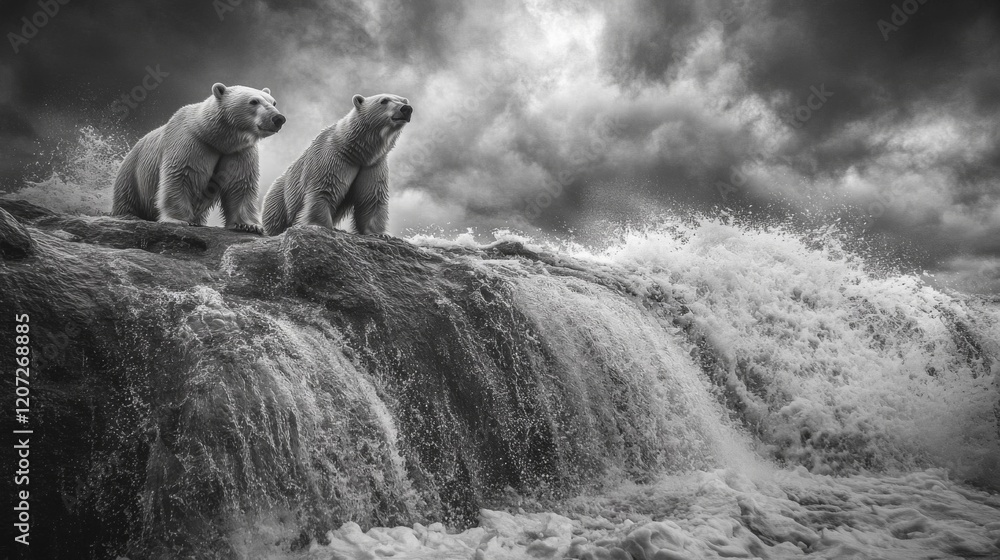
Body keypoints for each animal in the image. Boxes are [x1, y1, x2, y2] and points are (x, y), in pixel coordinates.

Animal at [111, 83, 285, 234]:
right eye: (254, 101)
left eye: (273, 101)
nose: (278, 118)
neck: (215, 138)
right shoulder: (192, 144)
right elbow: (181, 176)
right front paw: (179, 220)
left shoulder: (239, 152)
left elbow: (240, 183)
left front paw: (249, 225)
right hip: (132, 174)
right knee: (127, 197)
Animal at [261, 93, 411, 236]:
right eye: (384, 100)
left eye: (403, 101)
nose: (406, 109)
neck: (355, 151)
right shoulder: (331, 158)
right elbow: (323, 190)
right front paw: (319, 225)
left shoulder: (372, 165)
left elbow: (371, 197)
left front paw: (380, 234)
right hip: (279, 199)